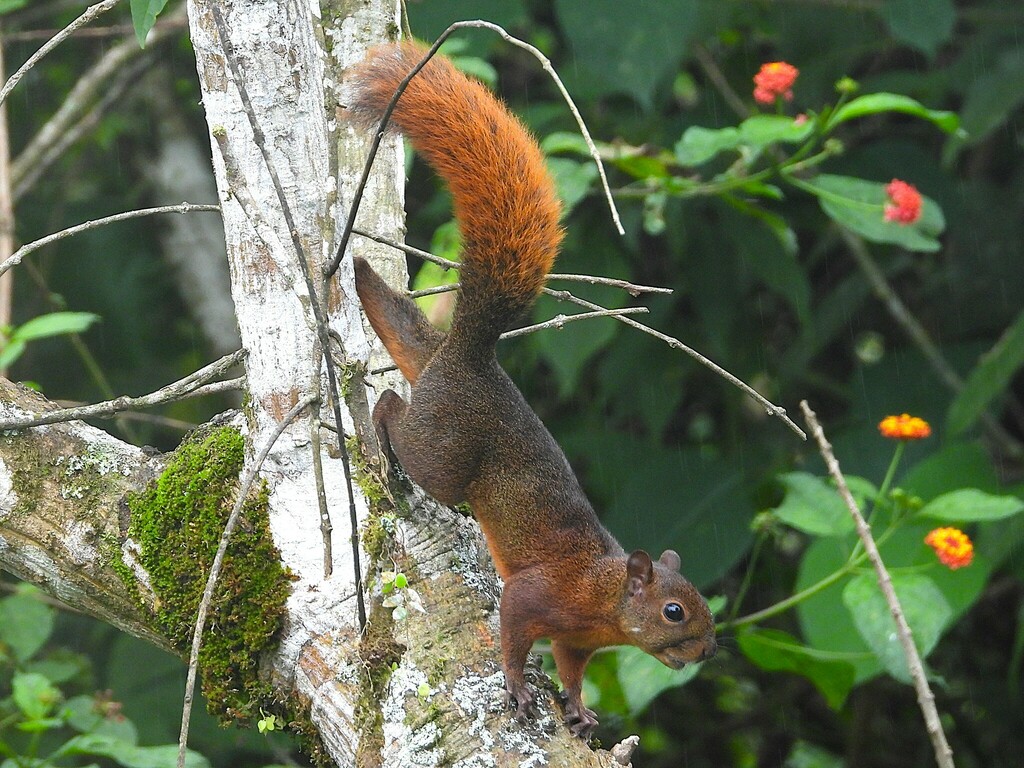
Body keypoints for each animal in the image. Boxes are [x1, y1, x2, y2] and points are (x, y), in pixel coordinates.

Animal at [348, 43, 716, 741]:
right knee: (396, 416)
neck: (603, 598)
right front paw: (519, 686)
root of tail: (467, 357)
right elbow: (514, 634)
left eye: (703, 603)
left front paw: (578, 708)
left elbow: (571, 671)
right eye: (675, 612)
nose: (708, 651)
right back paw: (377, 426)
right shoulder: (536, 596)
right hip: (442, 455)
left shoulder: (578, 643)